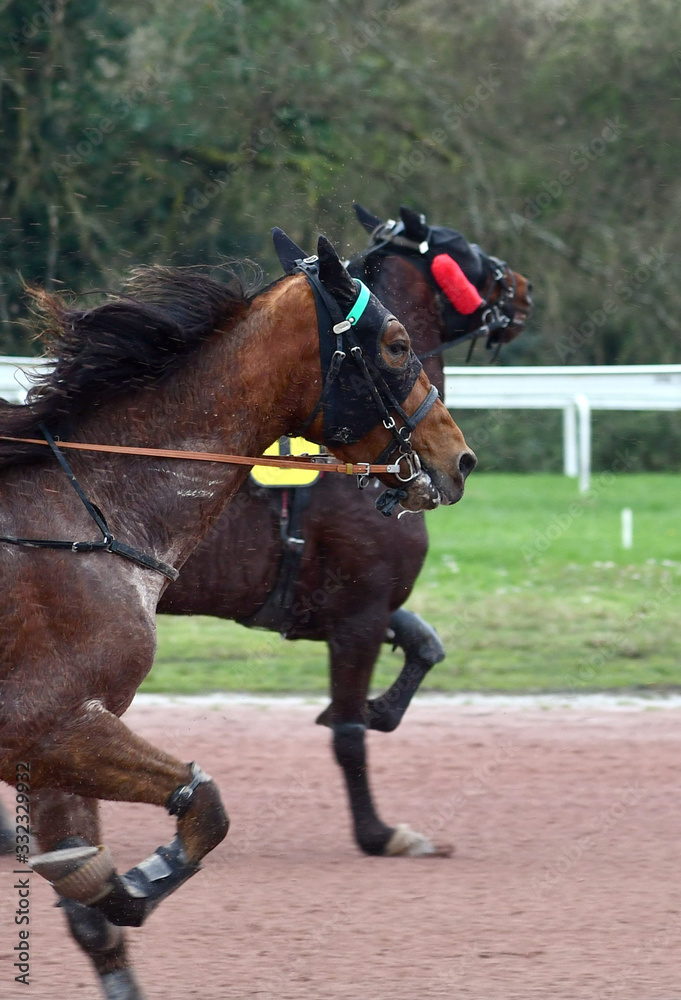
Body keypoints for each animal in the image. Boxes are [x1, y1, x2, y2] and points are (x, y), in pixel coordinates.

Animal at [0, 236, 476, 1000]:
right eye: (397, 343)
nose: (457, 457)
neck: (80, 512)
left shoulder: (63, 737)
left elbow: (94, 906)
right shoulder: (47, 721)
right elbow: (214, 803)